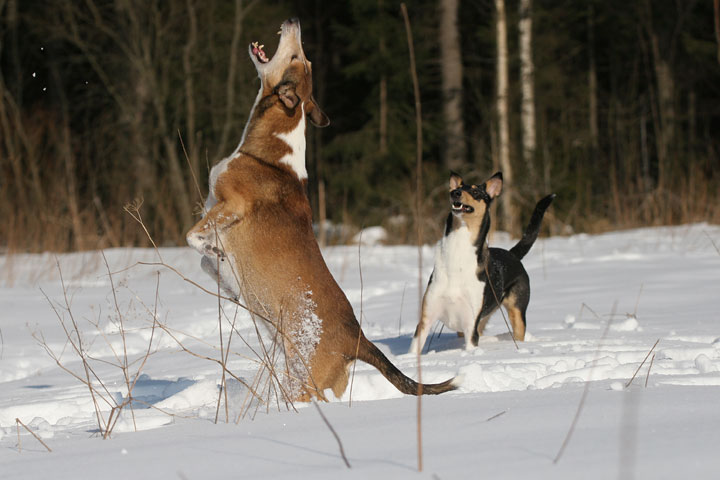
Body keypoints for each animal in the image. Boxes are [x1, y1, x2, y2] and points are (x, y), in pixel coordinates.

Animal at [186, 19, 456, 401]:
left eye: (298, 57)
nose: (293, 22)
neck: (270, 153)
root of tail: (358, 339)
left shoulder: (231, 204)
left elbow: (194, 238)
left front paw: (213, 251)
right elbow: (204, 260)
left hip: (302, 381)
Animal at [409, 171, 554, 353]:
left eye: (476, 192)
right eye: (457, 188)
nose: (455, 193)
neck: (457, 254)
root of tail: (512, 254)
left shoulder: (471, 326)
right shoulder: (425, 320)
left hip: (517, 313)